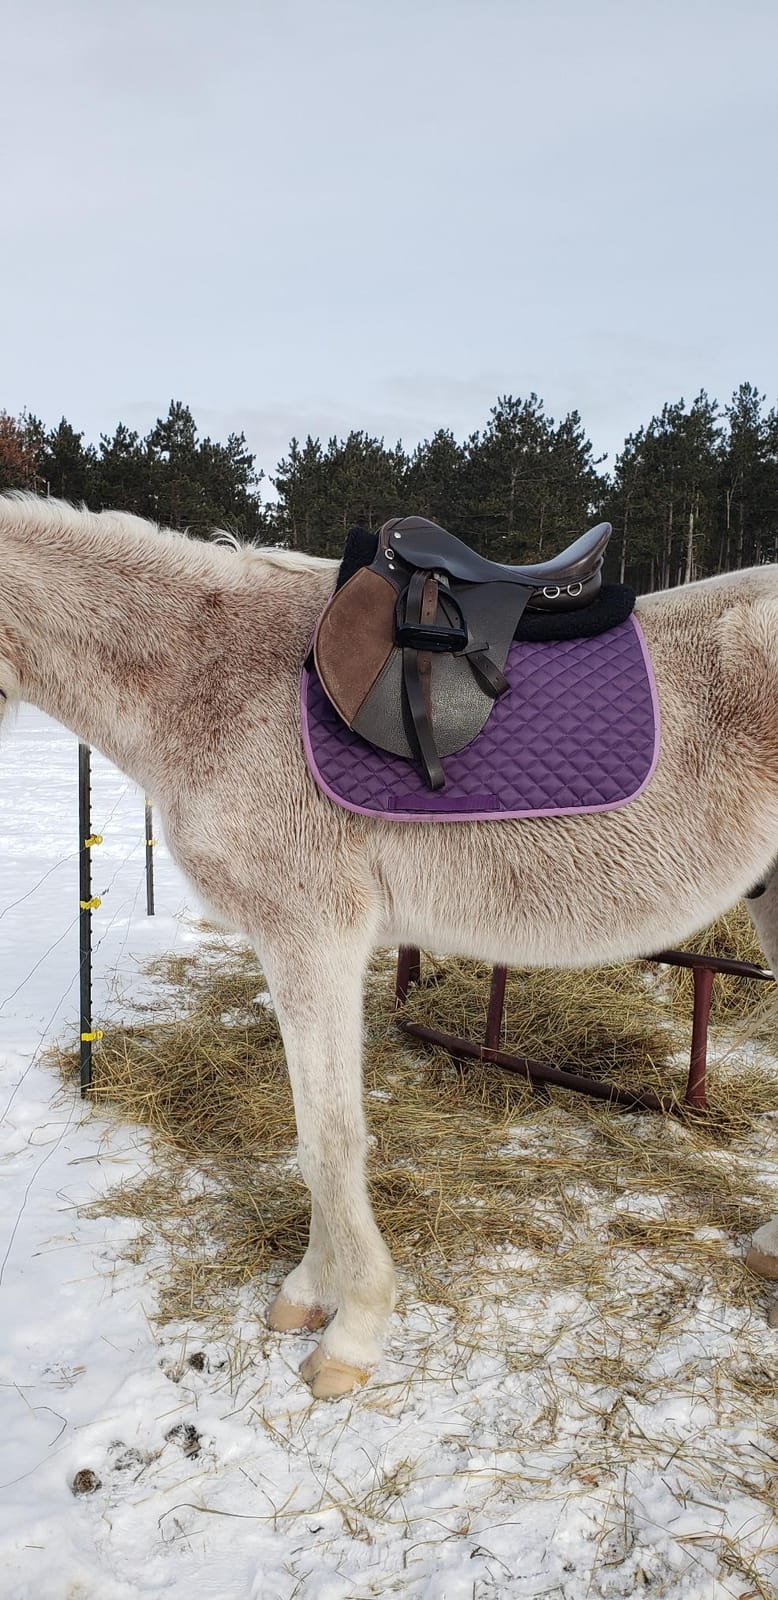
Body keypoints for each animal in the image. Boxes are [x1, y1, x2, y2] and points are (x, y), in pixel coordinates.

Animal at [1, 492, 777, 1399]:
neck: (207, 678)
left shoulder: (312, 937)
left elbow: (329, 1141)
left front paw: (352, 1330)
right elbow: (317, 1134)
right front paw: (309, 1294)